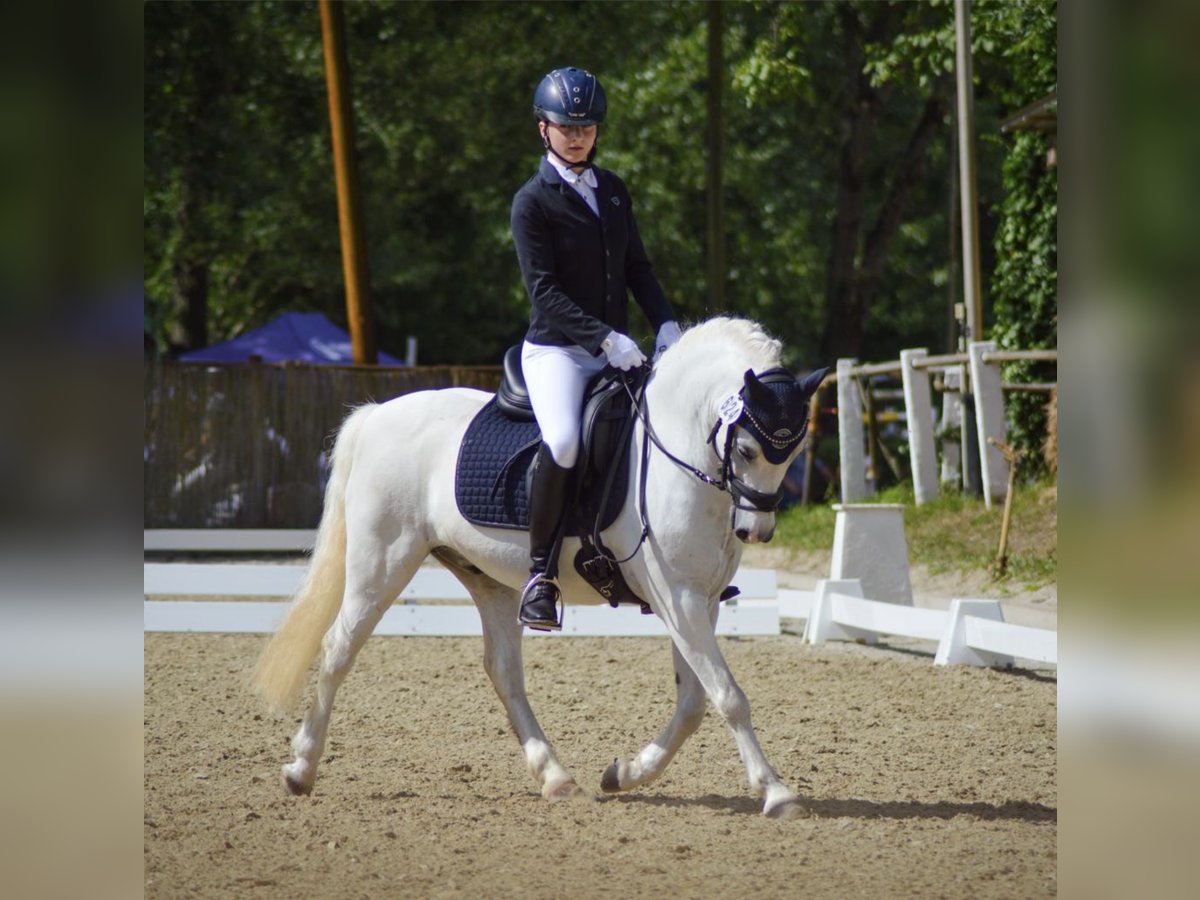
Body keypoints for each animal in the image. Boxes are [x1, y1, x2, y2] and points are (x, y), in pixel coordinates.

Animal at [252, 321, 816, 820]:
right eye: (746, 448)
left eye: (793, 454)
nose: (756, 531)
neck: (676, 451)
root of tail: (374, 415)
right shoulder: (676, 597)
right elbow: (729, 697)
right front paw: (776, 792)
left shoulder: (699, 600)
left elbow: (695, 702)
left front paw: (625, 773)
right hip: (381, 562)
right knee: (337, 650)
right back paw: (301, 769)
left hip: (491, 580)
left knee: (504, 672)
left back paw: (556, 777)